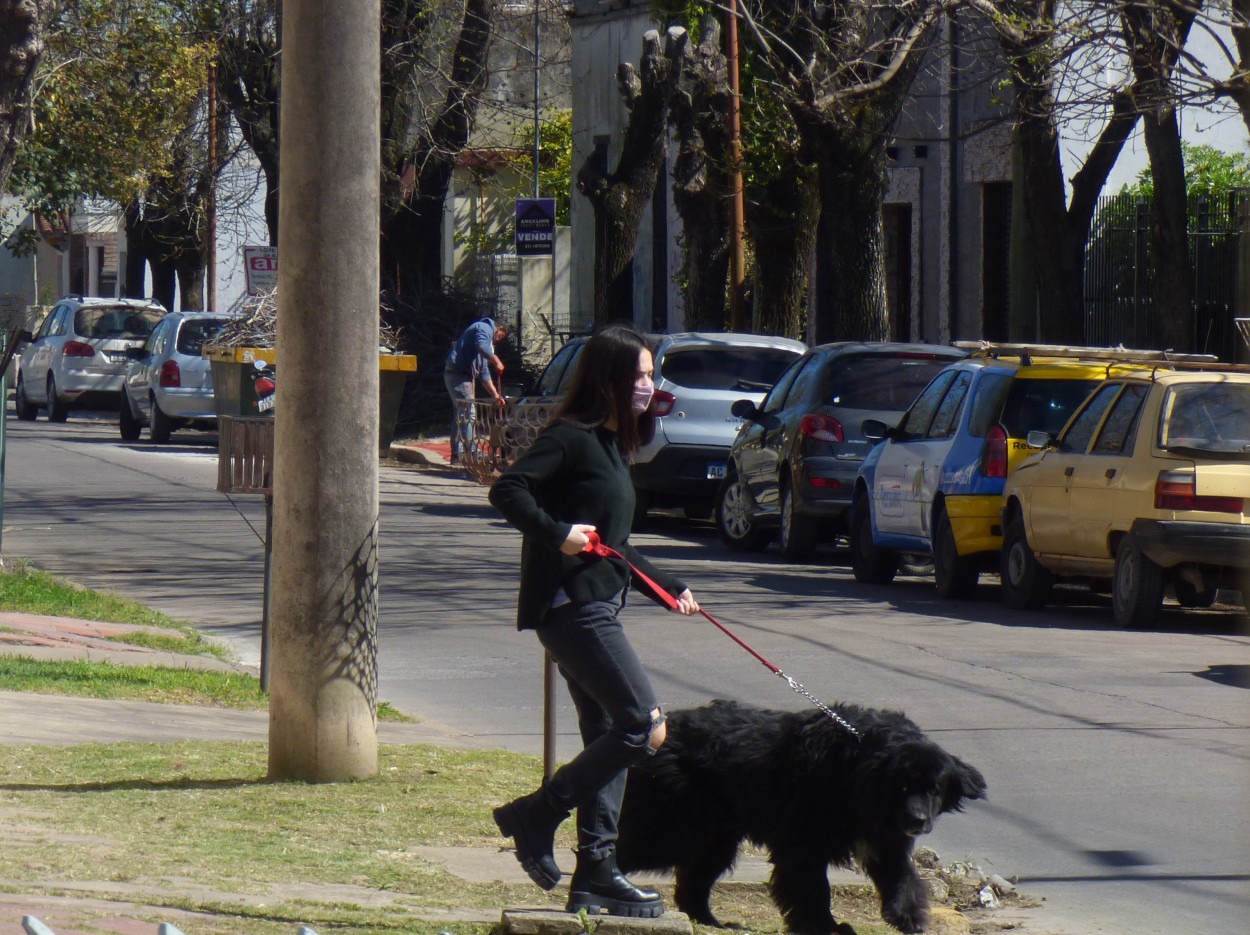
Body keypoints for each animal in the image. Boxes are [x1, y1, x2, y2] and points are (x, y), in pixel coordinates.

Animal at [615, 700, 985, 930]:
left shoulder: (885, 838)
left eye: (933, 789)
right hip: (678, 824)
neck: (859, 775)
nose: (918, 820)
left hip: (717, 835)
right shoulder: (804, 841)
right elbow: (811, 887)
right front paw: (827, 927)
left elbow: (902, 877)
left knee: (696, 876)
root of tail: (661, 733)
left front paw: (909, 918)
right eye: (903, 786)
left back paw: (712, 922)